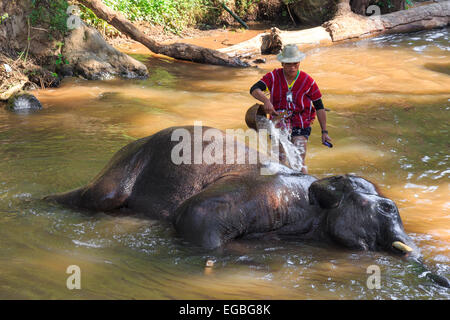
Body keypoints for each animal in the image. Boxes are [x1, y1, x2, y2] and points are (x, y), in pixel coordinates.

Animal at [44, 125, 450, 288]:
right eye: (387, 209)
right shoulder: (260, 192)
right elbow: (194, 214)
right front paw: (250, 260)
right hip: (126, 165)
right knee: (100, 197)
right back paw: (42, 202)